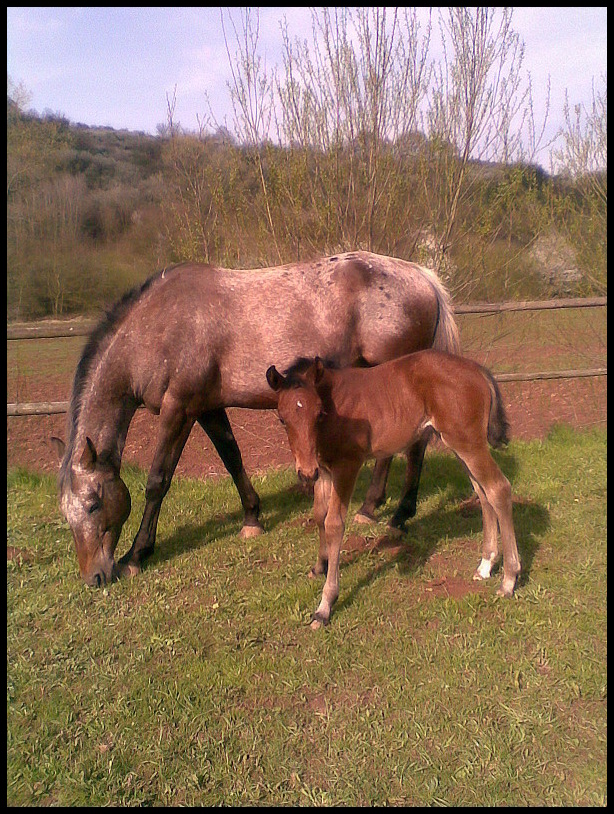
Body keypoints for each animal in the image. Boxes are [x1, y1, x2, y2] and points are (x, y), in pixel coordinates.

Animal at [51, 252, 458, 588]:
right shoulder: (207, 409)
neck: (158, 327)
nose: (94, 577)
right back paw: (372, 507)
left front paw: (136, 555)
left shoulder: (179, 409)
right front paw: (252, 518)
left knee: (416, 446)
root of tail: (421, 275)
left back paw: (398, 515)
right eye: (66, 514)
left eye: (93, 505)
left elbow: (157, 481)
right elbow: (233, 460)